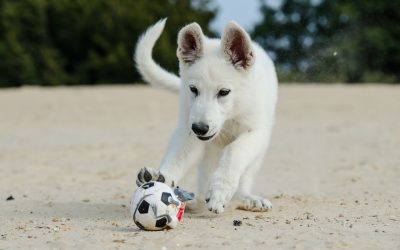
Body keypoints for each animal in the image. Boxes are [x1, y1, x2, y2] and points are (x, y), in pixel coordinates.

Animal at [134, 18, 278, 214]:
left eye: (224, 92)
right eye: (193, 89)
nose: (200, 128)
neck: (231, 115)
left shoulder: (256, 132)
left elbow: (234, 152)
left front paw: (220, 190)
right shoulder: (188, 131)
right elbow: (176, 158)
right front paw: (162, 179)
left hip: (256, 155)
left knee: (244, 178)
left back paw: (246, 198)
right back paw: (193, 201)